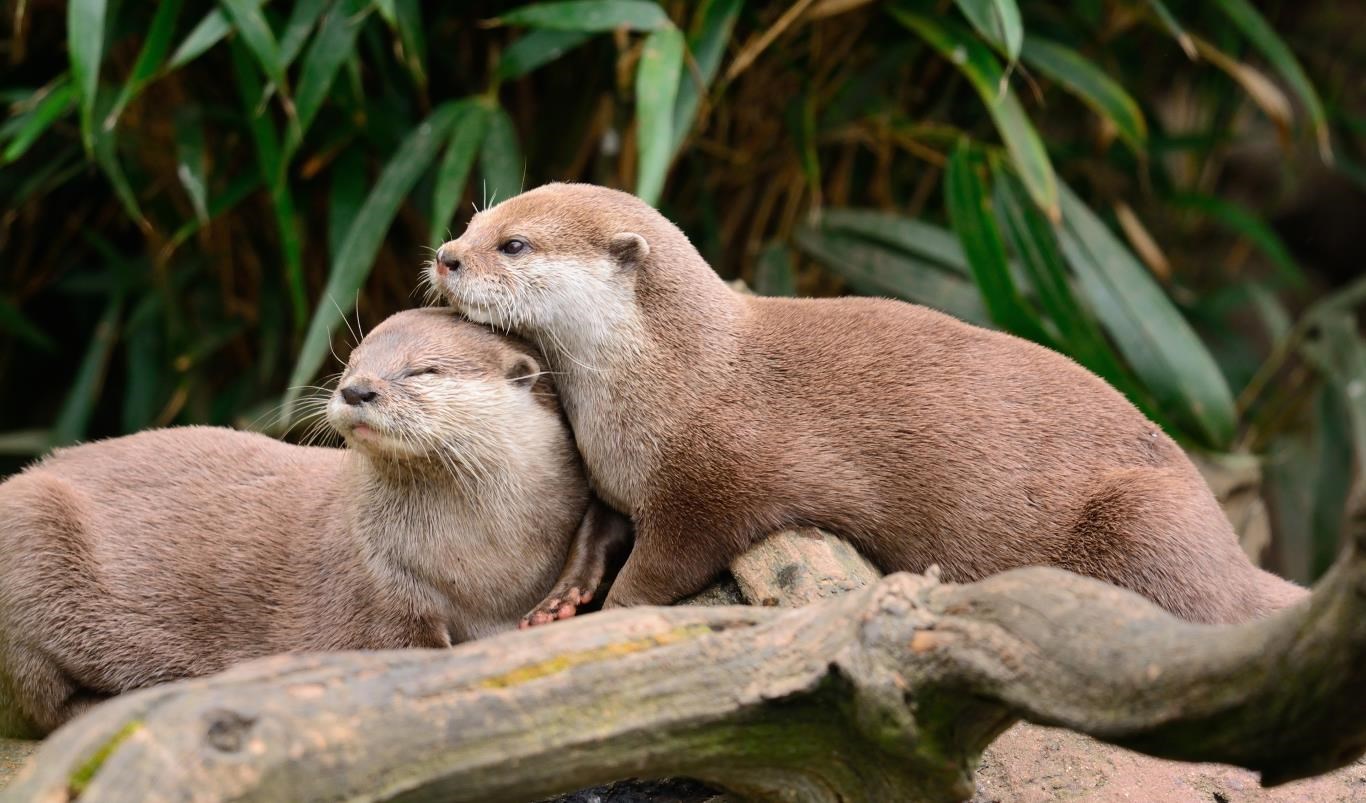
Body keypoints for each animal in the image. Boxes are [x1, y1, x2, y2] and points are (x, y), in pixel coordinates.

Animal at [0, 308, 628, 735]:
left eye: (422, 370)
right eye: (352, 362)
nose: (357, 389)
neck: (481, 567)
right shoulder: (374, 593)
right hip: (28, 542)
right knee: (40, 700)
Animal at [428, 182, 1305, 625]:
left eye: (514, 244)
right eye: (476, 218)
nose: (445, 255)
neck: (666, 383)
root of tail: (1231, 551)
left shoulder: (710, 484)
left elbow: (665, 564)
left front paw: (612, 611)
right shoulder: (615, 473)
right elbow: (595, 528)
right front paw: (564, 595)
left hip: (1143, 515)